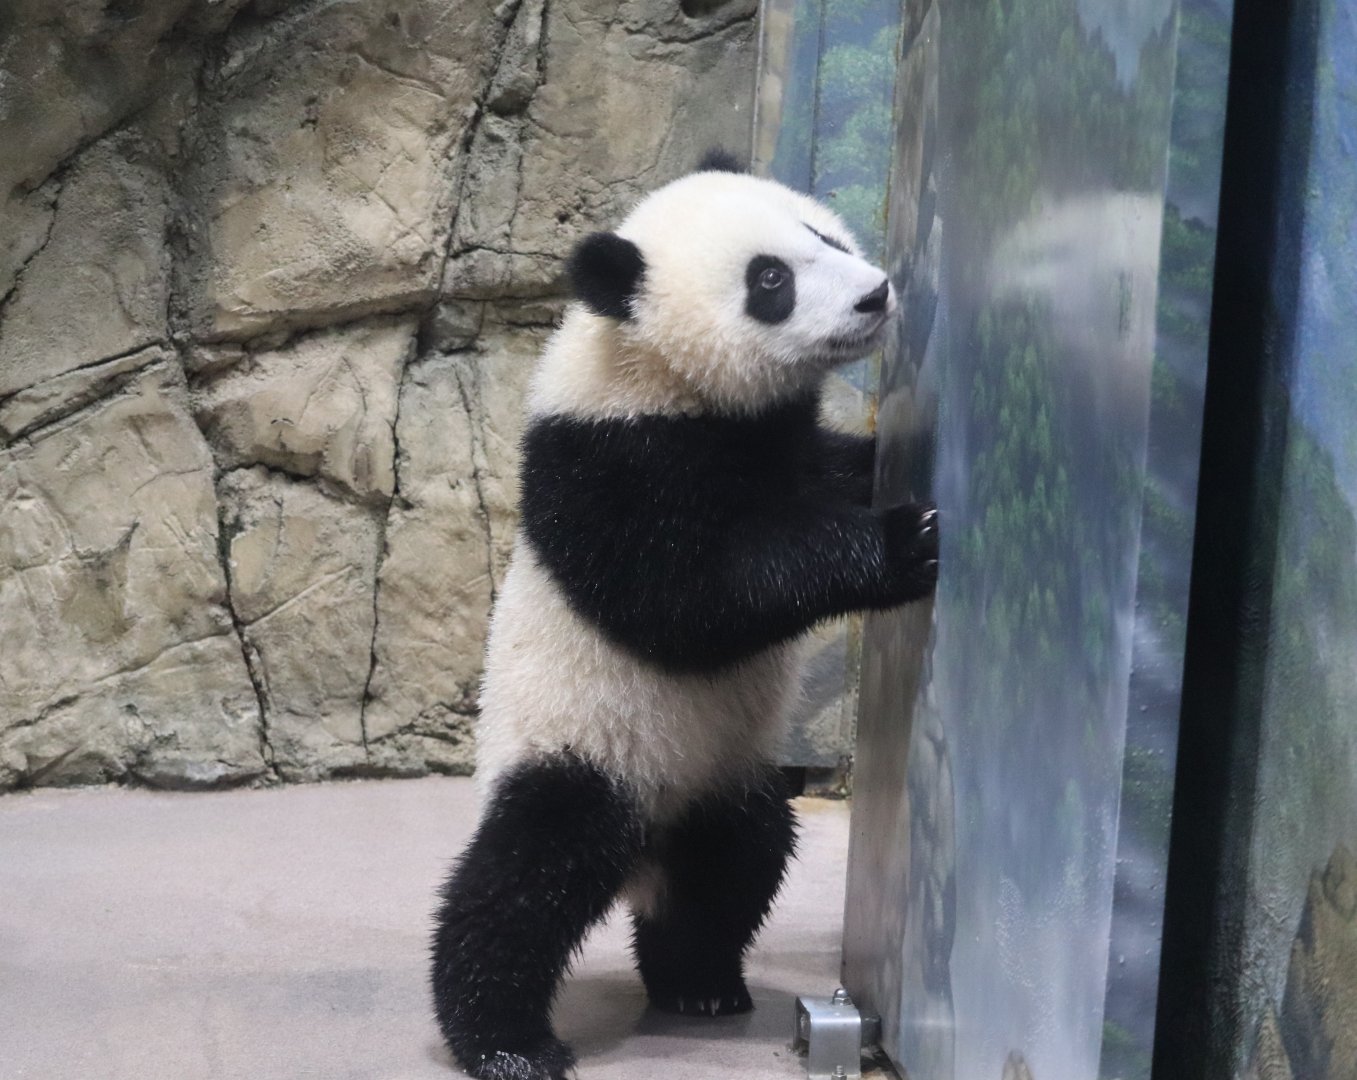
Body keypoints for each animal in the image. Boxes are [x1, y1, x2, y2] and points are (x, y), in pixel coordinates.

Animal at [430, 149, 939, 1080]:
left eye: (820, 236)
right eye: (769, 281)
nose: (874, 294)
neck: (654, 374)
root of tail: (644, 856)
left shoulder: (775, 444)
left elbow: (826, 475)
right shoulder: (609, 463)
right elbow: (689, 600)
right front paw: (903, 541)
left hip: (721, 776)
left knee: (736, 863)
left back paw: (696, 982)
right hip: (580, 746)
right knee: (525, 878)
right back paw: (506, 1041)